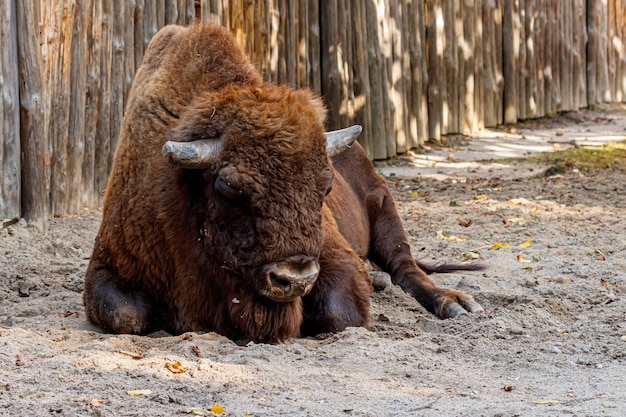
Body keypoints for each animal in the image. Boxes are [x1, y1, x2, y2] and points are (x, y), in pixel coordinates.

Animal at [84, 22, 482, 342]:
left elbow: (340, 314)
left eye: (326, 188)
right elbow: (126, 316)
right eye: (228, 188)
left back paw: (455, 303)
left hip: (387, 212)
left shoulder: (333, 252)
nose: (295, 279)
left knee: (406, 268)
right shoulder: (108, 262)